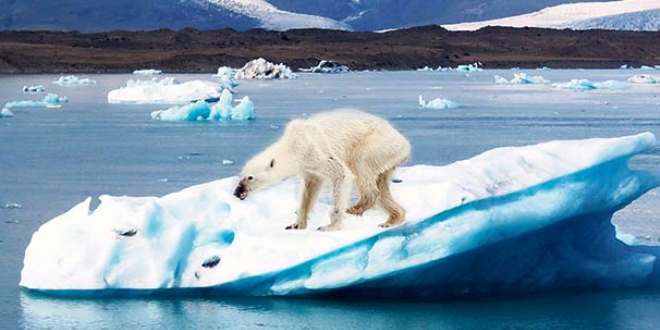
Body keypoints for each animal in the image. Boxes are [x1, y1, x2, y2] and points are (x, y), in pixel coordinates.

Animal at [231, 109, 408, 231]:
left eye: (250, 177)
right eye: (240, 175)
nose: (237, 192)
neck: (293, 144)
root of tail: (404, 143)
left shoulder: (314, 151)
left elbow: (341, 174)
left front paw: (329, 226)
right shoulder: (307, 167)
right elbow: (309, 190)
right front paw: (296, 224)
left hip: (375, 145)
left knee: (361, 168)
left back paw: (356, 208)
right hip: (387, 159)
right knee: (382, 186)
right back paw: (391, 219)